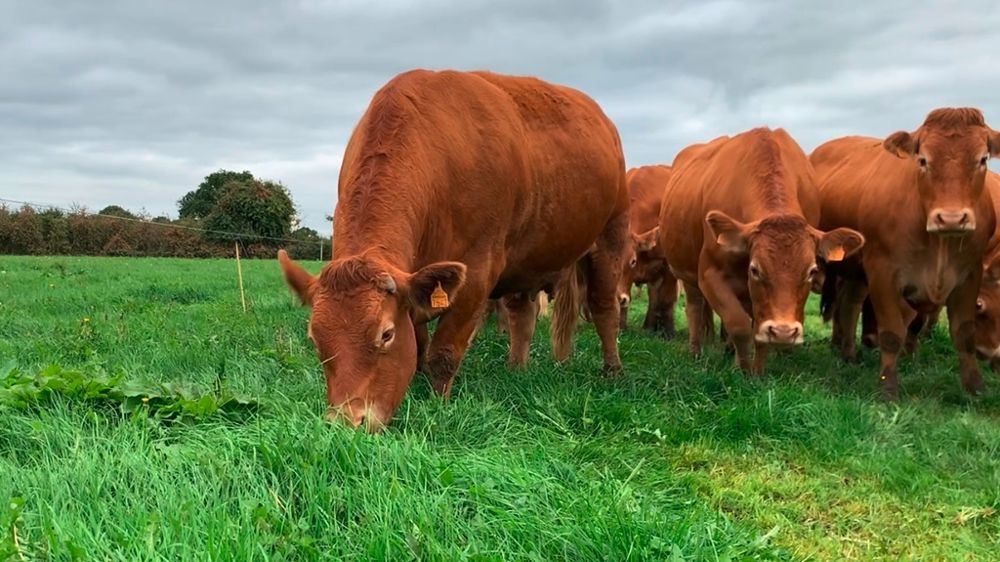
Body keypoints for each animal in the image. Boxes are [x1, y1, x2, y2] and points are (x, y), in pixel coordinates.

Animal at [277, 69, 629, 430]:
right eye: (315, 338)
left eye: (386, 334)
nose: (346, 421)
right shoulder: (415, 283)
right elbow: (420, 344)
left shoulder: (476, 273)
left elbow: (444, 351)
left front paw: (438, 402)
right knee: (522, 314)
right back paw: (516, 368)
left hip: (611, 235)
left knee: (604, 307)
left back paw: (612, 369)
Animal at [659, 127, 864, 374]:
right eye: (755, 269)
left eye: (811, 271)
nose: (784, 332)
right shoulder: (710, 275)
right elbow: (739, 325)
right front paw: (743, 370)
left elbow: (758, 334)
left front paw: (755, 371)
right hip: (687, 276)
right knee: (695, 308)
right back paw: (695, 351)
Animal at [814, 108, 1000, 399]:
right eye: (923, 160)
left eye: (982, 159)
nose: (951, 218)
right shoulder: (882, 272)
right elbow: (892, 333)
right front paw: (888, 388)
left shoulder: (971, 273)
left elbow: (962, 331)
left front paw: (976, 387)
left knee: (850, 304)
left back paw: (849, 354)